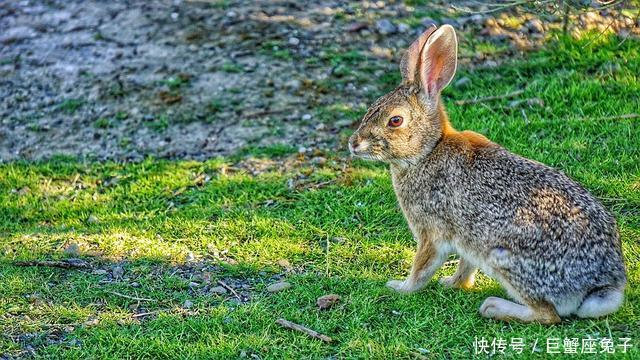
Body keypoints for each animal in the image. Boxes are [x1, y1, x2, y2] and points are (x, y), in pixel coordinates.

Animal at [350, 24, 624, 324]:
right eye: (372, 107)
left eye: (395, 120)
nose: (353, 144)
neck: (427, 150)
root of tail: (602, 286)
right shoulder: (467, 238)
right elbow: (465, 266)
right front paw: (451, 283)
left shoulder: (431, 232)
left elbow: (422, 267)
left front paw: (400, 287)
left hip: (505, 257)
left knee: (547, 314)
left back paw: (493, 306)